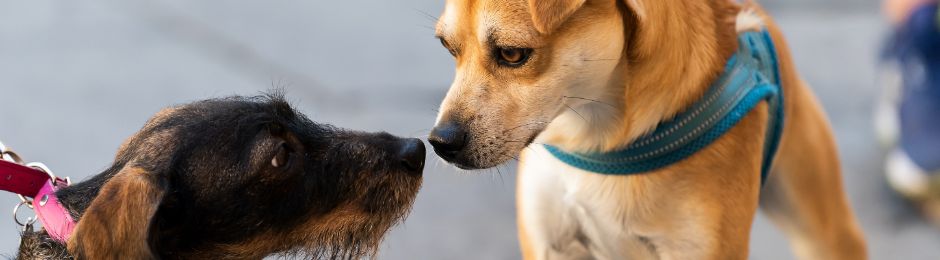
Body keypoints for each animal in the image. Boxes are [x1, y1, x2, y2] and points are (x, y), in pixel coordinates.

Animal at [426, 0, 868, 258]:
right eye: (448, 48)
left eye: (513, 54)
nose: (440, 142)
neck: (594, 133)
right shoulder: (548, 242)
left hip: (821, 228)